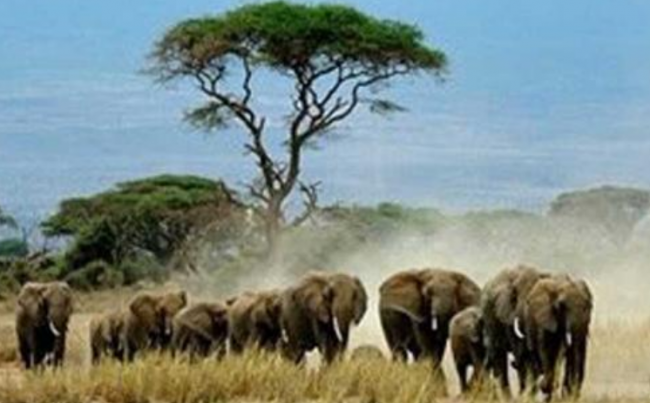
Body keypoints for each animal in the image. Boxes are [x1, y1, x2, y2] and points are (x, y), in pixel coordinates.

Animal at [480, 265, 549, 397]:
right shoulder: (509, 316)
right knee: (498, 356)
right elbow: (521, 353)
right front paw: (524, 393)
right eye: (527, 301)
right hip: (489, 314)